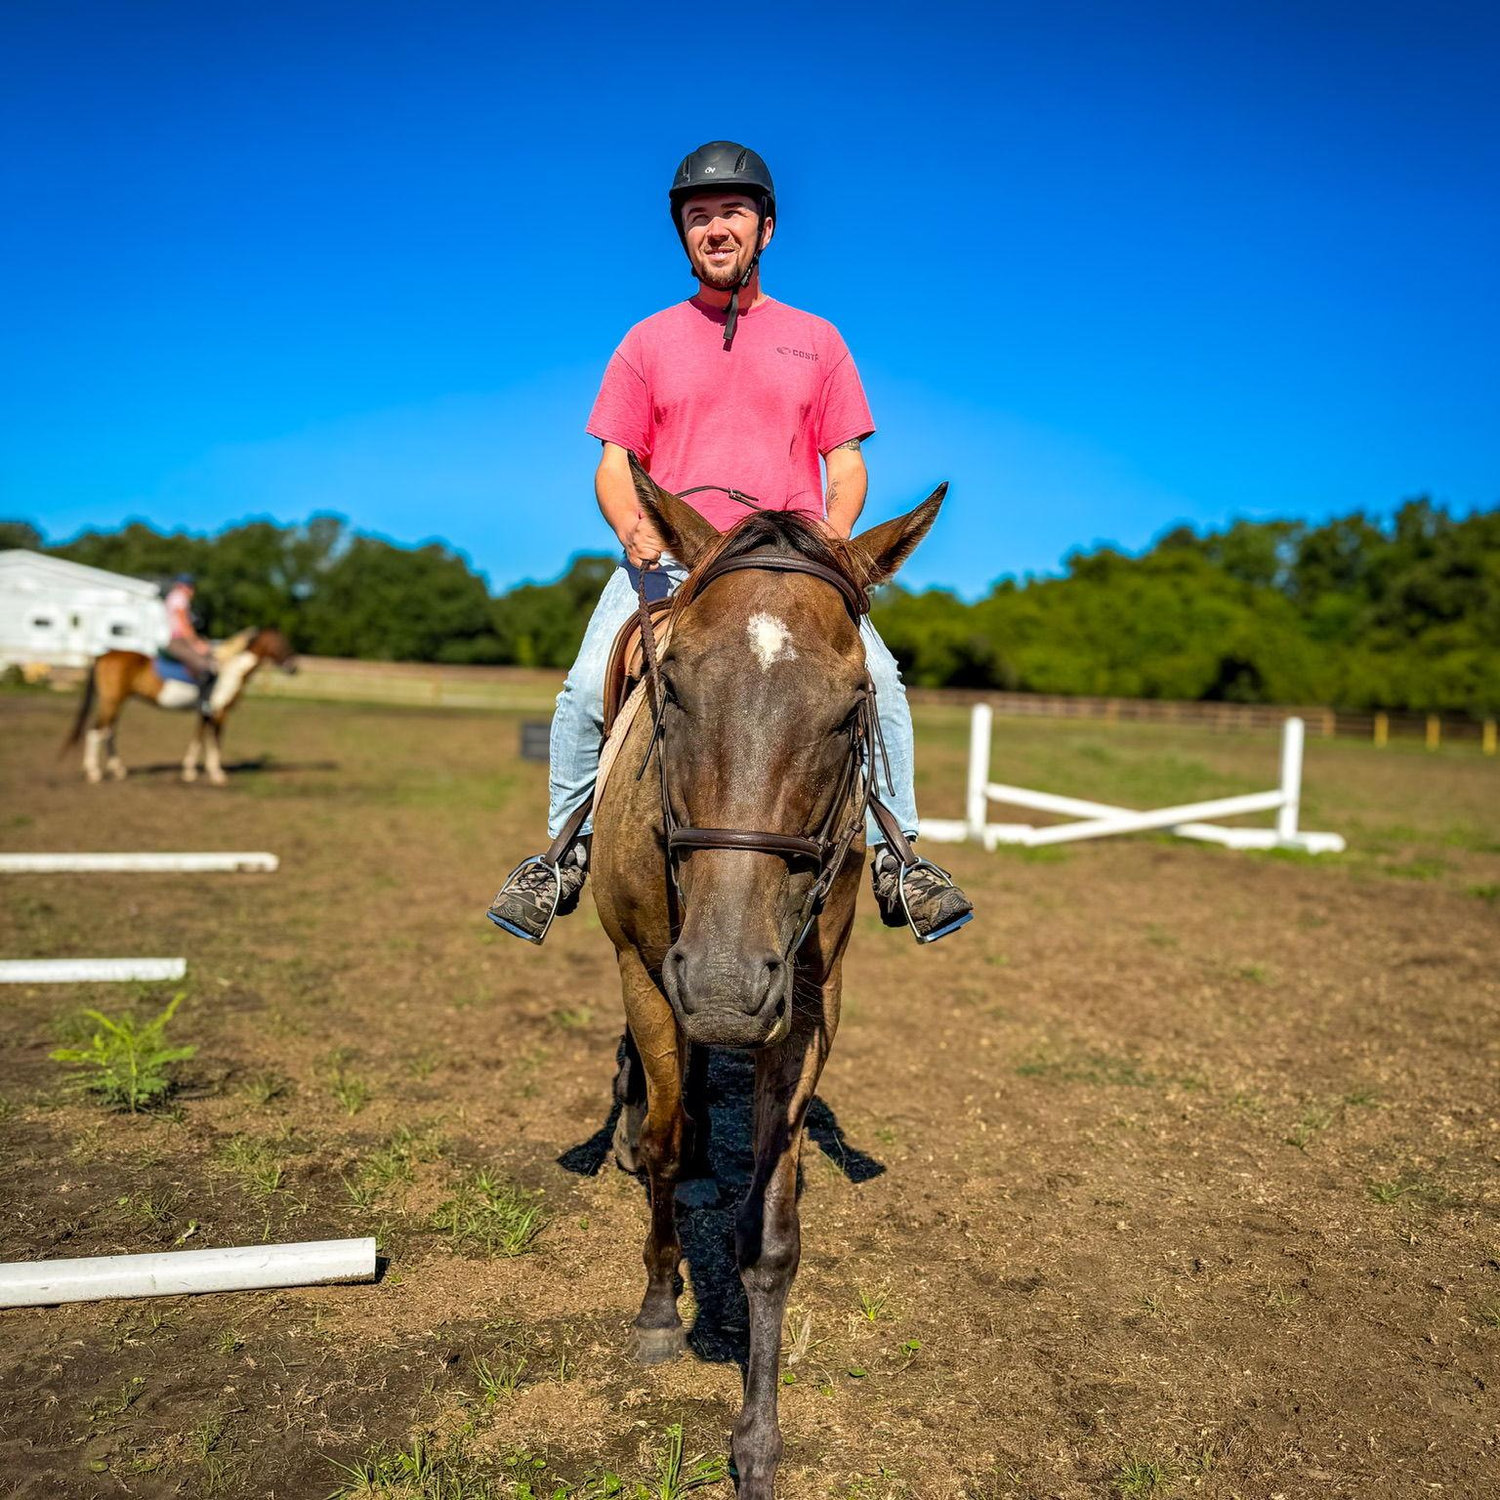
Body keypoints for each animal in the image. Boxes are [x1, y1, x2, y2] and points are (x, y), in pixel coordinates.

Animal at [63, 627, 298, 786]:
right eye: (281, 642)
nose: (294, 668)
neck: (230, 672)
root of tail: (103, 655)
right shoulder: (220, 713)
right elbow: (214, 741)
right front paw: (216, 774)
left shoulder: (205, 712)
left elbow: (198, 738)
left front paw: (189, 771)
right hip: (112, 701)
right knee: (97, 732)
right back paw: (94, 772)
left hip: (118, 701)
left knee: (109, 732)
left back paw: (118, 770)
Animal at [591, 460, 943, 1497]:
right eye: (671, 686)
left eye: (853, 703)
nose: (720, 982)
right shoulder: (646, 973)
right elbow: (664, 1141)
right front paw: (659, 1309)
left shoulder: (806, 1008)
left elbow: (773, 1234)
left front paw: (757, 1441)